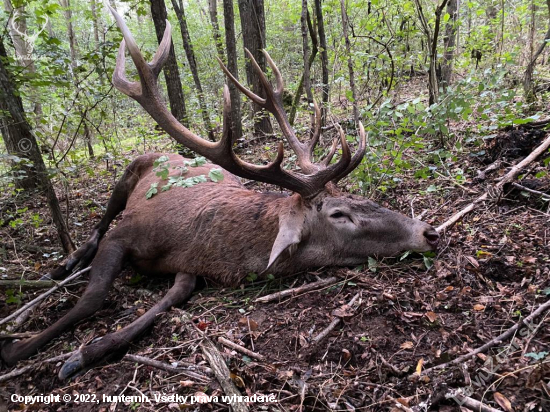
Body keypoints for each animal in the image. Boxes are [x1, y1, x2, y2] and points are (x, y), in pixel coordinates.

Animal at [0, 8, 440, 380]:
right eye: (338, 213)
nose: (429, 232)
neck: (203, 247)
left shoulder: (187, 269)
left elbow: (171, 298)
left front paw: (86, 352)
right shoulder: (128, 233)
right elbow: (93, 296)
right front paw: (20, 349)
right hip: (125, 175)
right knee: (98, 224)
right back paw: (62, 266)